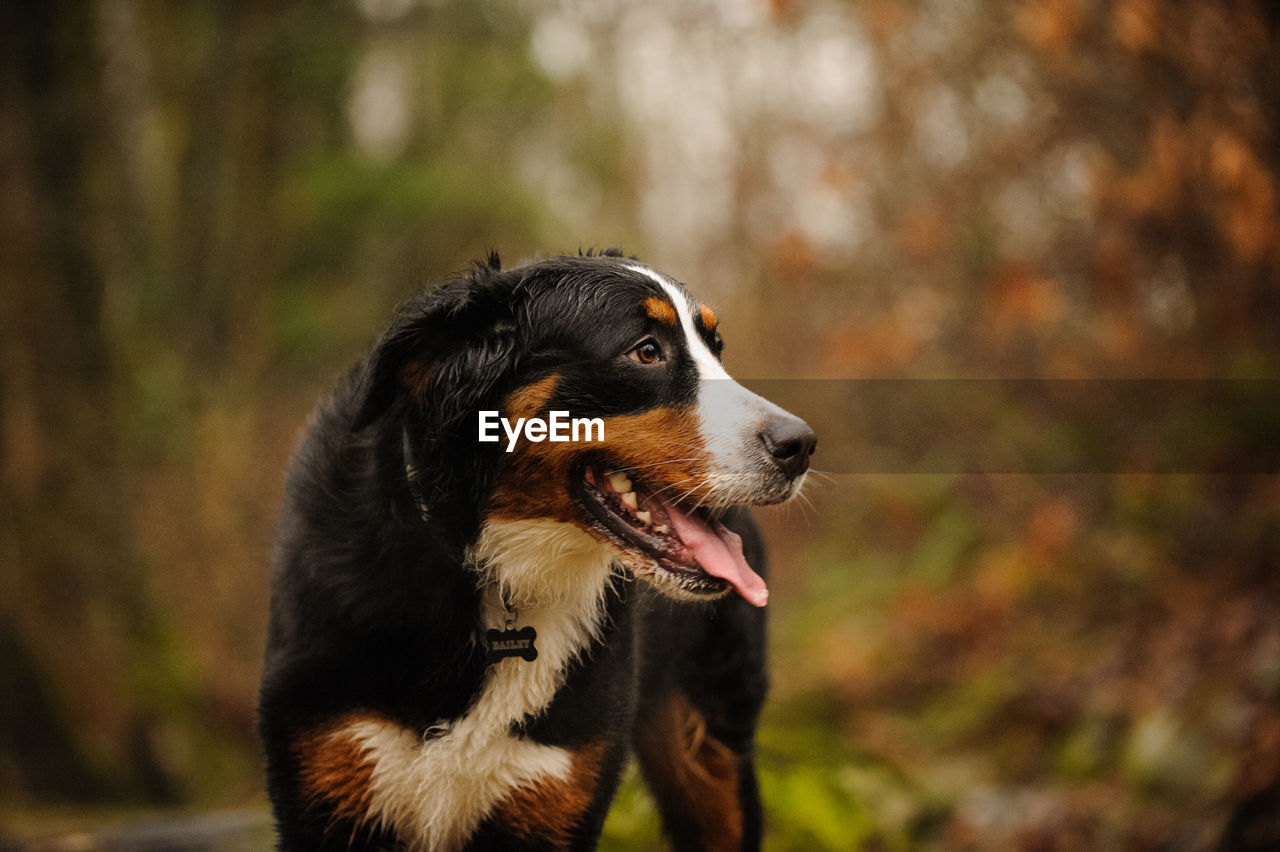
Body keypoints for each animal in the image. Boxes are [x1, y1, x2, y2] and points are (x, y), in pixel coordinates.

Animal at [258, 249, 814, 844]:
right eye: (646, 350)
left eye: (716, 348)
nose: (801, 444)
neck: (501, 568)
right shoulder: (332, 770)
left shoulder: (555, 790)